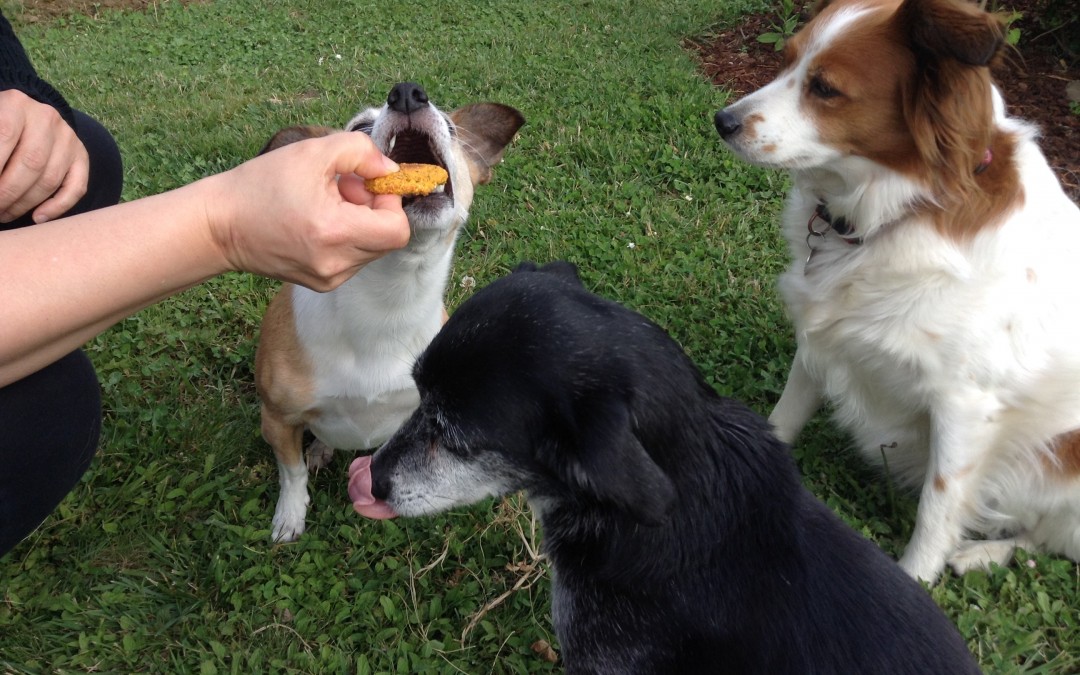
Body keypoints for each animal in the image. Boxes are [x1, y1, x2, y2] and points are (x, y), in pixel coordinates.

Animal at [253, 81, 522, 540]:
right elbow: (291, 473)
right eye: (359, 128)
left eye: (450, 126)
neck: (390, 300)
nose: (408, 93)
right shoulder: (276, 419)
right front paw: (290, 514)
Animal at [717, 0, 1080, 583]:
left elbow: (937, 507)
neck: (899, 209)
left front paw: (913, 583)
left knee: (1045, 539)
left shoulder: (966, 407)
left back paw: (982, 553)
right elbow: (784, 416)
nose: (722, 121)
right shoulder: (821, 338)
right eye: (787, 60)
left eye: (825, 88)